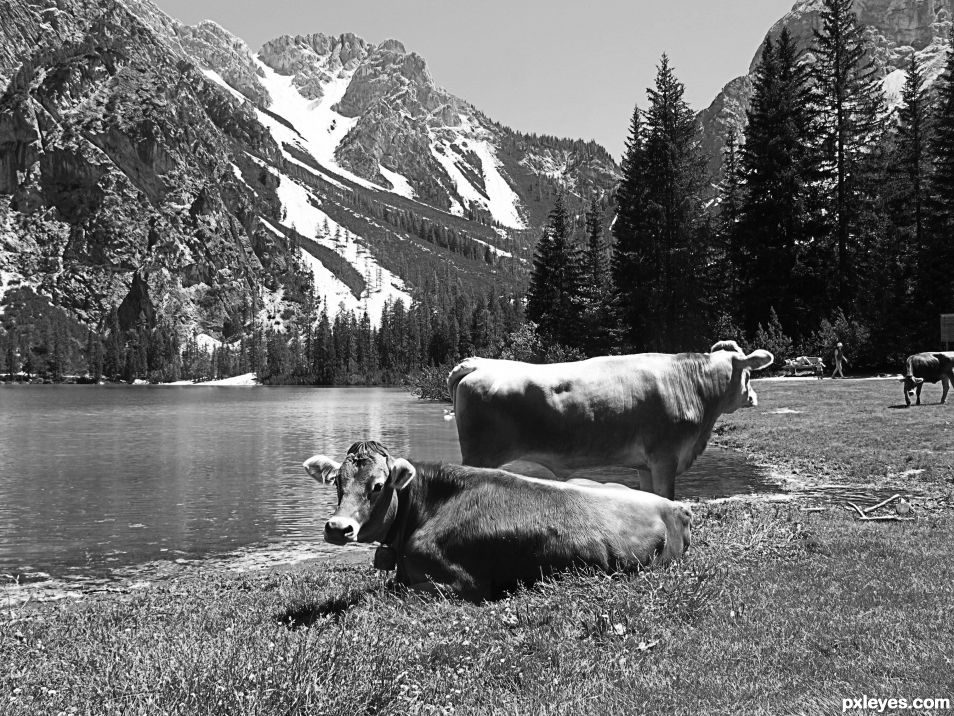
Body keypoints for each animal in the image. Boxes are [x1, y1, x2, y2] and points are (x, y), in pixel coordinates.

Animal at [446, 340, 772, 498]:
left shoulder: (646, 464)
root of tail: (478, 363)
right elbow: (667, 497)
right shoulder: (665, 456)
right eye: (749, 372)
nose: (754, 397)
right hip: (480, 455)